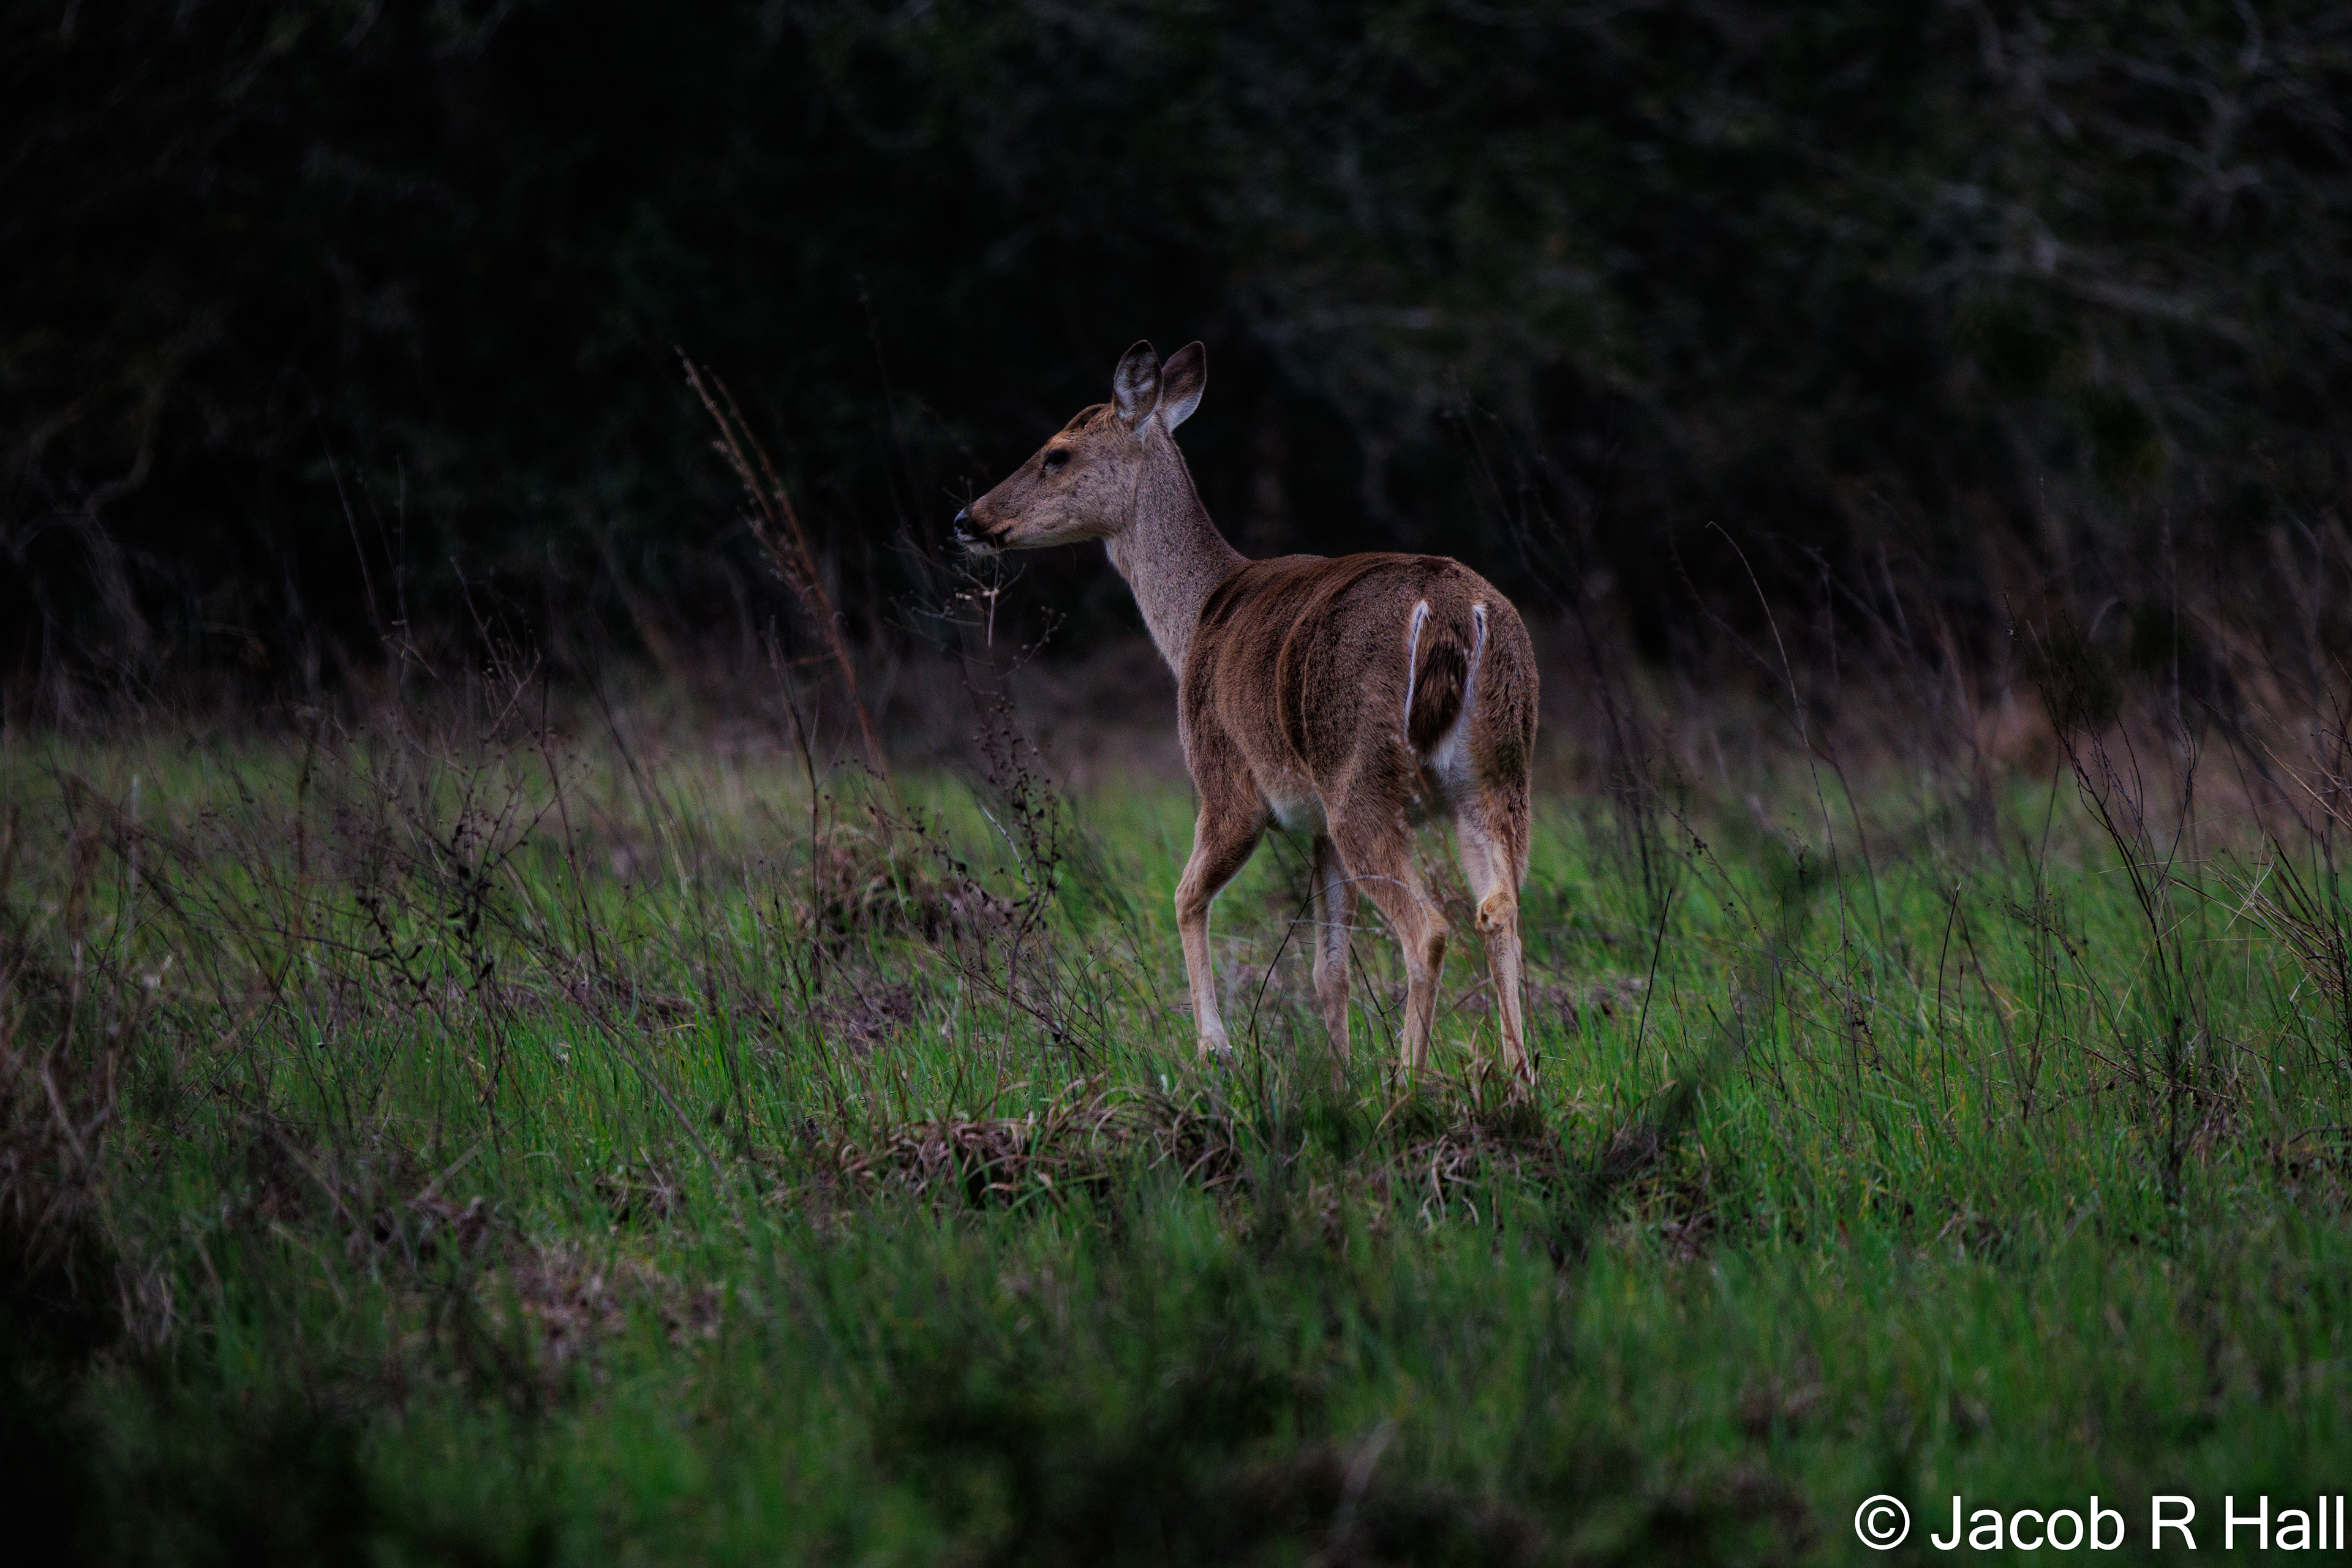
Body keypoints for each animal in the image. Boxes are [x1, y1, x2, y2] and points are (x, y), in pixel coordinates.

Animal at [955, 340, 1538, 1088]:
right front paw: (1338, 1078)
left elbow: (1183, 896)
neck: (1193, 621)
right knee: (1498, 909)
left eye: (1056, 453)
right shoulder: (1315, 824)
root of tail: (1453, 616)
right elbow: (1327, 968)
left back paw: (1406, 1086)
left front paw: (1215, 1049)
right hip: (1498, 770)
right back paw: (1521, 1080)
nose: (966, 519)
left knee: (1429, 927)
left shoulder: (1227, 780)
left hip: (1360, 774)